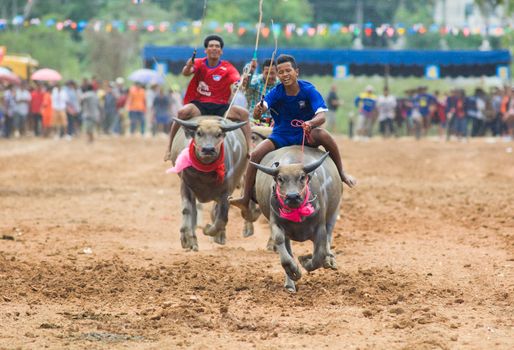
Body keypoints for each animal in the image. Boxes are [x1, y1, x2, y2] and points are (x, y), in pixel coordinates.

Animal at [169, 116, 247, 250]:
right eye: (199, 133)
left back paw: (220, 236)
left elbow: (222, 218)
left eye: (219, 134)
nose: (208, 149)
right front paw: (188, 240)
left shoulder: (226, 193)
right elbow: (187, 210)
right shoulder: (186, 186)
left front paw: (207, 229)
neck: (204, 175)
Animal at [251, 146, 340, 294]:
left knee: (329, 235)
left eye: (302, 177)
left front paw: (304, 260)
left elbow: (318, 256)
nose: (292, 196)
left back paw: (329, 260)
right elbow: (281, 245)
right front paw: (295, 271)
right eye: (280, 179)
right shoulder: (276, 223)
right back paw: (290, 284)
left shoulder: (320, 227)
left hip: (334, 212)